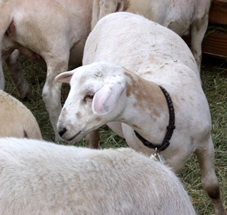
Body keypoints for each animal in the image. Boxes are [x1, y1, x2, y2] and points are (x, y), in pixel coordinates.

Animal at [55, 13, 227, 215]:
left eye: (91, 95)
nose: (61, 129)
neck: (165, 116)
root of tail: (114, 14)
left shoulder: (205, 142)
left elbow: (212, 187)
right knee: (93, 138)